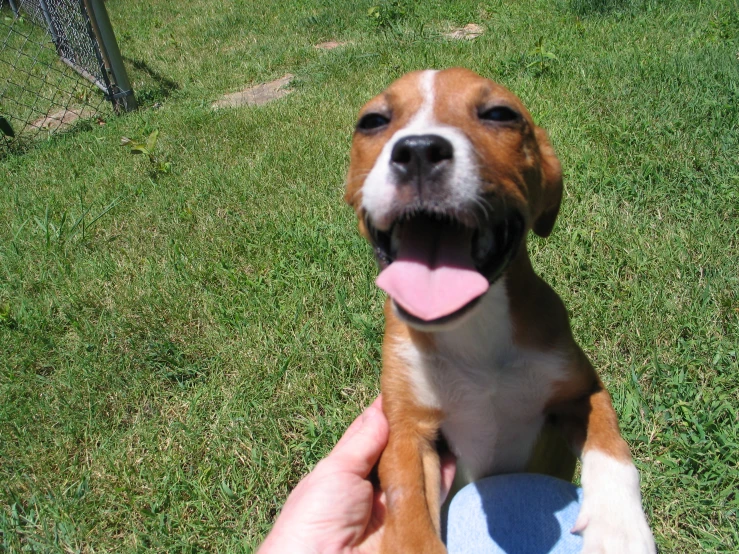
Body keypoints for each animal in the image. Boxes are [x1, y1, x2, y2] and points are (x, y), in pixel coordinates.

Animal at [344, 69, 656, 552]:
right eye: (373, 121)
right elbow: (409, 509)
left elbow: (612, 448)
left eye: (499, 114)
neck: (474, 329)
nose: (418, 151)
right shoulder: (407, 432)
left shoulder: (580, 390)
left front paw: (618, 527)